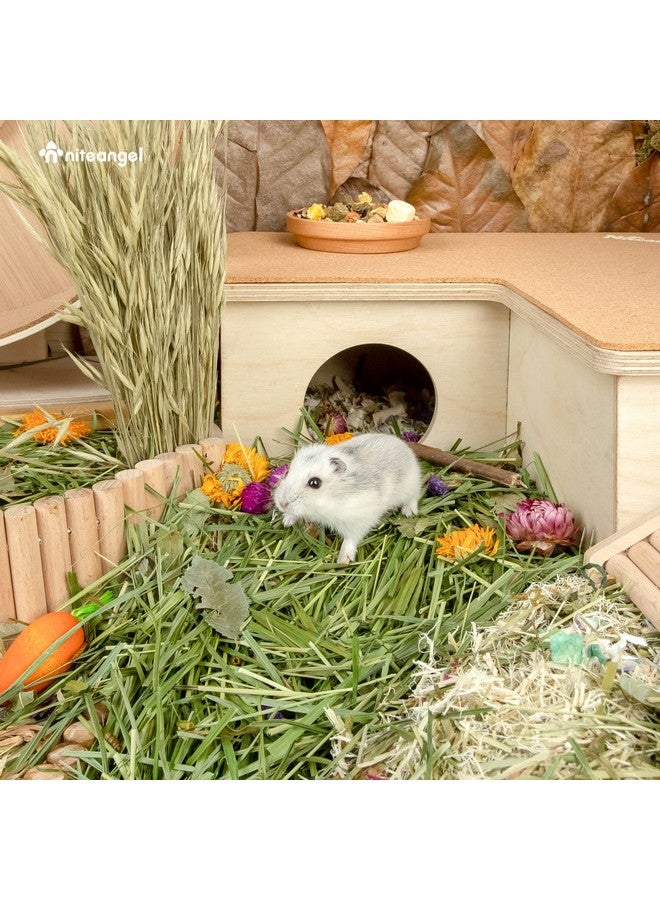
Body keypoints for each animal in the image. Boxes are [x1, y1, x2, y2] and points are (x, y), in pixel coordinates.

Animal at [273, 432, 422, 564]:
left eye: (315, 483)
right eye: (287, 472)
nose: (282, 504)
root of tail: (401, 443)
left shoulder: (358, 522)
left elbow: (350, 539)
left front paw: (342, 561)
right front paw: (286, 521)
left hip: (410, 486)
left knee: (414, 496)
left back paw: (408, 512)